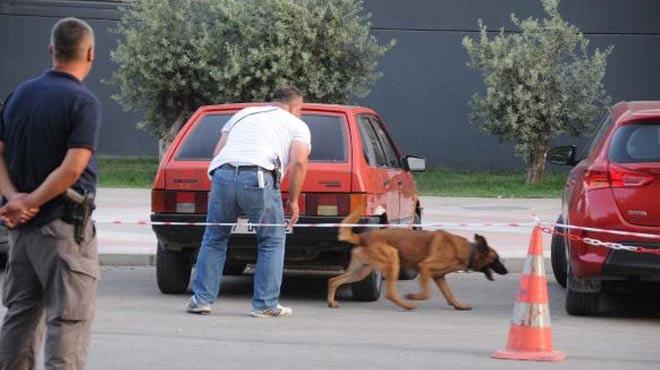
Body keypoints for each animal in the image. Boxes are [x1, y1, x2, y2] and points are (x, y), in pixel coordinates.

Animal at [328, 211, 508, 310]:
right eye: (497, 259)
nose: (506, 272)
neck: (468, 250)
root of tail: (362, 237)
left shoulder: (439, 277)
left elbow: (450, 294)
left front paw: (459, 306)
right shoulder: (425, 268)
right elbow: (426, 293)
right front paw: (414, 296)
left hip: (361, 271)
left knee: (334, 280)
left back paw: (331, 302)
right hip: (393, 260)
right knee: (390, 293)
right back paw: (407, 305)